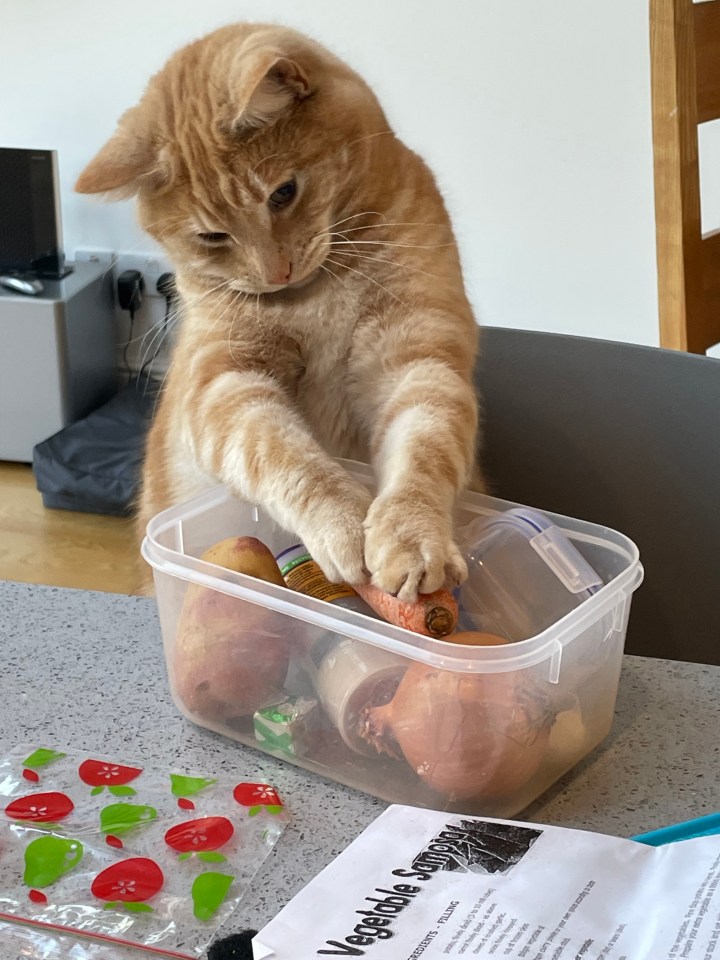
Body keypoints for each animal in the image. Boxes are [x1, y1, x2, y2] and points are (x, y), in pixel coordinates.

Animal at [76, 24, 480, 600]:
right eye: (212, 236)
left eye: (283, 193)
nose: (277, 272)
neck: (316, 293)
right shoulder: (225, 384)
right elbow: (287, 455)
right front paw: (344, 522)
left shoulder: (416, 361)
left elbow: (424, 449)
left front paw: (410, 537)